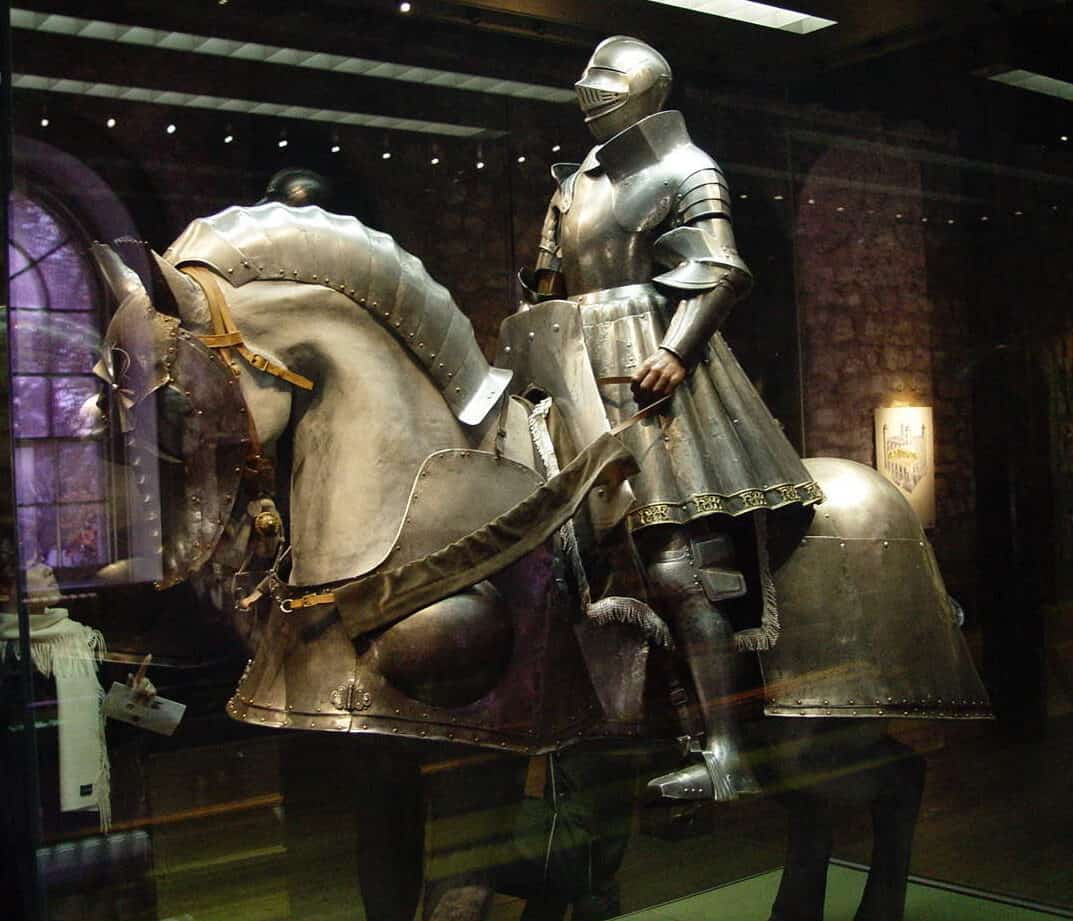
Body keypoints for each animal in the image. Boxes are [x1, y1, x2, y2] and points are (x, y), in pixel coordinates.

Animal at [92, 205, 987, 918]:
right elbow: (390, 883)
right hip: (803, 729)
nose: (129, 597)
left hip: (826, 711)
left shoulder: (481, 754)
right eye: (102, 395)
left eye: (173, 401)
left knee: (892, 784)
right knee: (821, 811)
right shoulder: (378, 748)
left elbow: (456, 894)